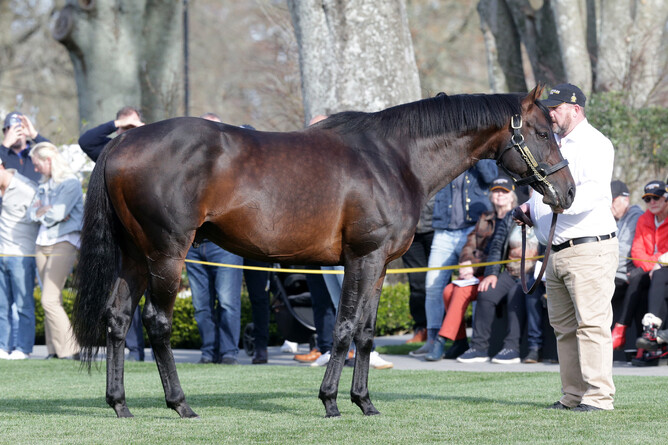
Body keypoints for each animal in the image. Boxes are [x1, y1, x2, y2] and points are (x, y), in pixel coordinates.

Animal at [73, 84, 574, 419]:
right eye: (541, 132)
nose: (567, 192)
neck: (394, 158)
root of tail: (124, 142)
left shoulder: (380, 265)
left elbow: (366, 333)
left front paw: (364, 402)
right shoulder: (362, 257)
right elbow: (345, 327)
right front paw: (332, 401)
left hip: (135, 256)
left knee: (117, 319)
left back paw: (119, 404)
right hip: (166, 254)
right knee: (155, 322)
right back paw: (180, 405)